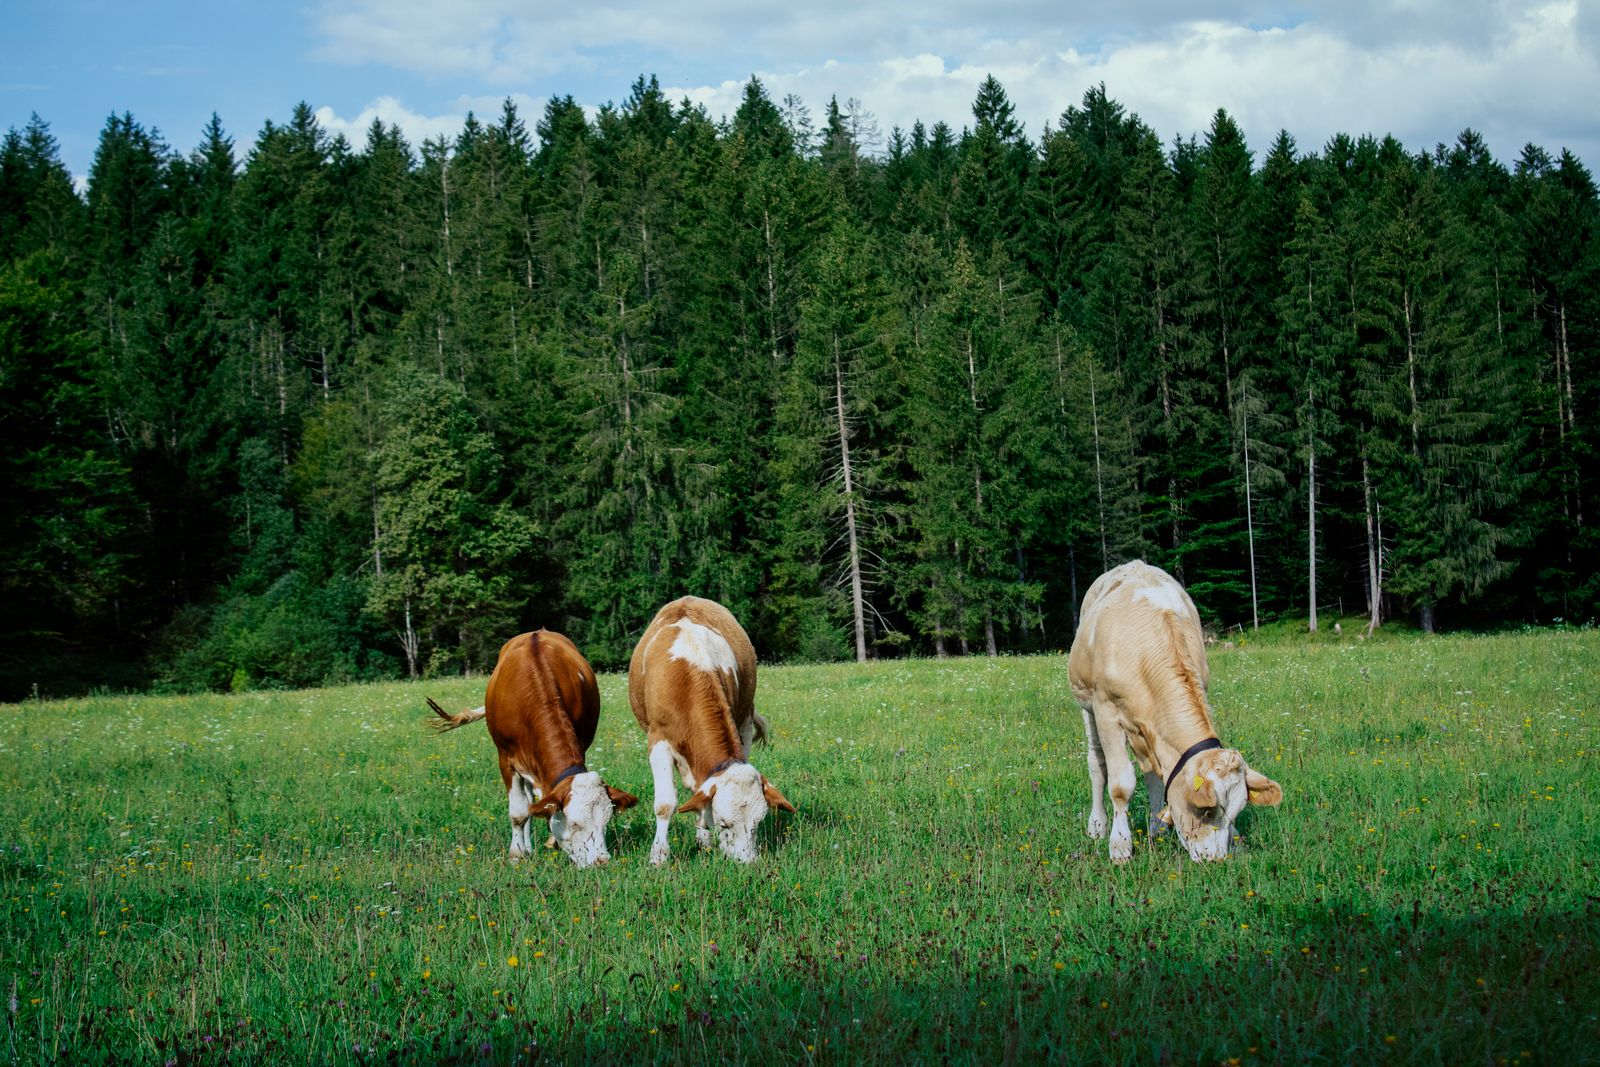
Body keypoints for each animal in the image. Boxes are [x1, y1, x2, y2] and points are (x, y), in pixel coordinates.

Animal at [428, 629, 637, 868]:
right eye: (575, 824)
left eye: (606, 821)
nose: (601, 862)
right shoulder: (506, 760)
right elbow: (519, 812)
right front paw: (517, 854)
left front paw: (550, 841)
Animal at [627, 596, 794, 865]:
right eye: (724, 823)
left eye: (758, 823)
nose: (746, 863)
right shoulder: (658, 739)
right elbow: (665, 803)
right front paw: (659, 856)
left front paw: (703, 839)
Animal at [1068, 561, 1283, 863]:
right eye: (1206, 809)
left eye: (1237, 810)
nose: (1216, 859)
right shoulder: (1106, 710)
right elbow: (1121, 784)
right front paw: (1120, 846)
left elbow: (1157, 779)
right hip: (1086, 704)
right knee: (1097, 763)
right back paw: (1097, 825)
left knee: (1151, 774)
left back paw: (1156, 826)